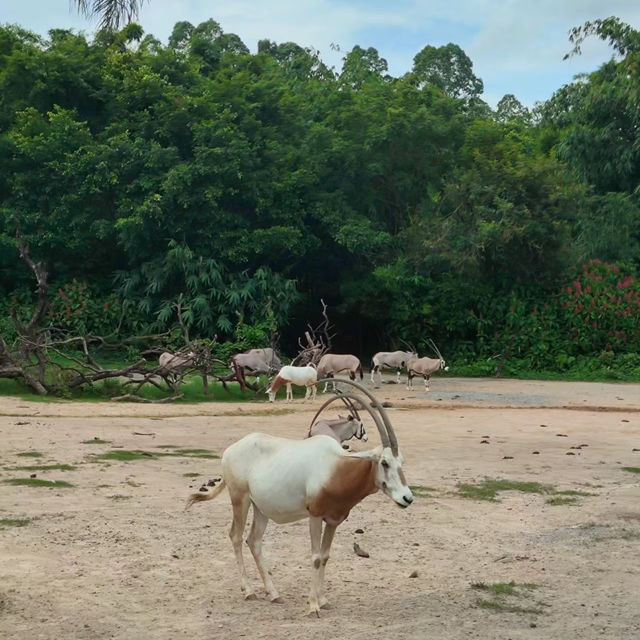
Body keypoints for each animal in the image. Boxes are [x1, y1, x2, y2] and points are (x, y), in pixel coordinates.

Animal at [186, 380, 416, 616]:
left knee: (254, 540)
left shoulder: (333, 520)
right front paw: (313, 605)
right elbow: (315, 557)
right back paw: (249, 591)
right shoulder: (314, 515)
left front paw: (323, 600)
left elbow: (325, 556)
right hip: (240, 498)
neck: (337, 468)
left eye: (401, 461)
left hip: (261, 508)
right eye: (385, 462)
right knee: (236, 536)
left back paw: (274, 594)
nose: (407, 498)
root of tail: (231, 450)